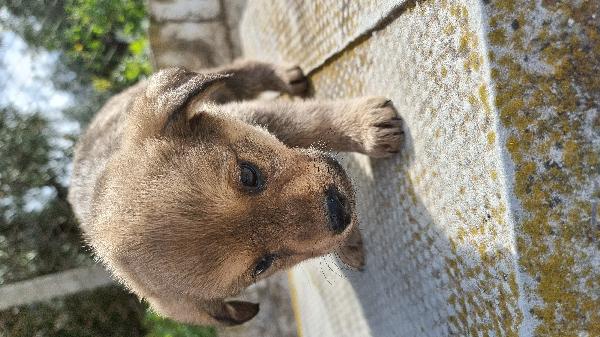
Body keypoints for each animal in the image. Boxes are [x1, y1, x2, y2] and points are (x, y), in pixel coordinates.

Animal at [69, 59, 404, 324]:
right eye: (262, 264)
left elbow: (315, 120)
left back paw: (282, 75)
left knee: (237, 71)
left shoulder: (256, 115)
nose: (338, 210)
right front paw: (350, 244)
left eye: (248, 175)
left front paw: (367, 126)